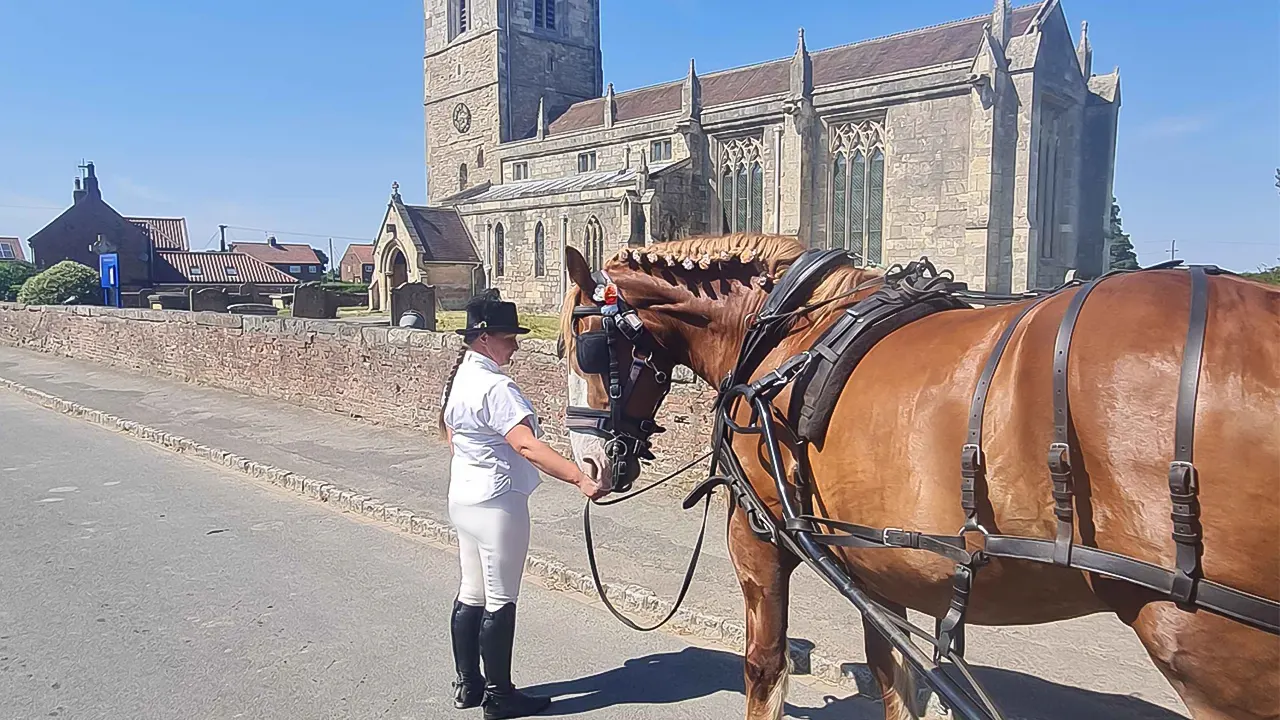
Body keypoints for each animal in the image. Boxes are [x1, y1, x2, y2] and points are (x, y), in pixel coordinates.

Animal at [558, 230, 1280, 717]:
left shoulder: (760, 545)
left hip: (1210, 649)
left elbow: (763, 667)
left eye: (584, 345)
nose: (587, 463)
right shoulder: (880, 560)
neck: (780, 336)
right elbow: (896, 680)